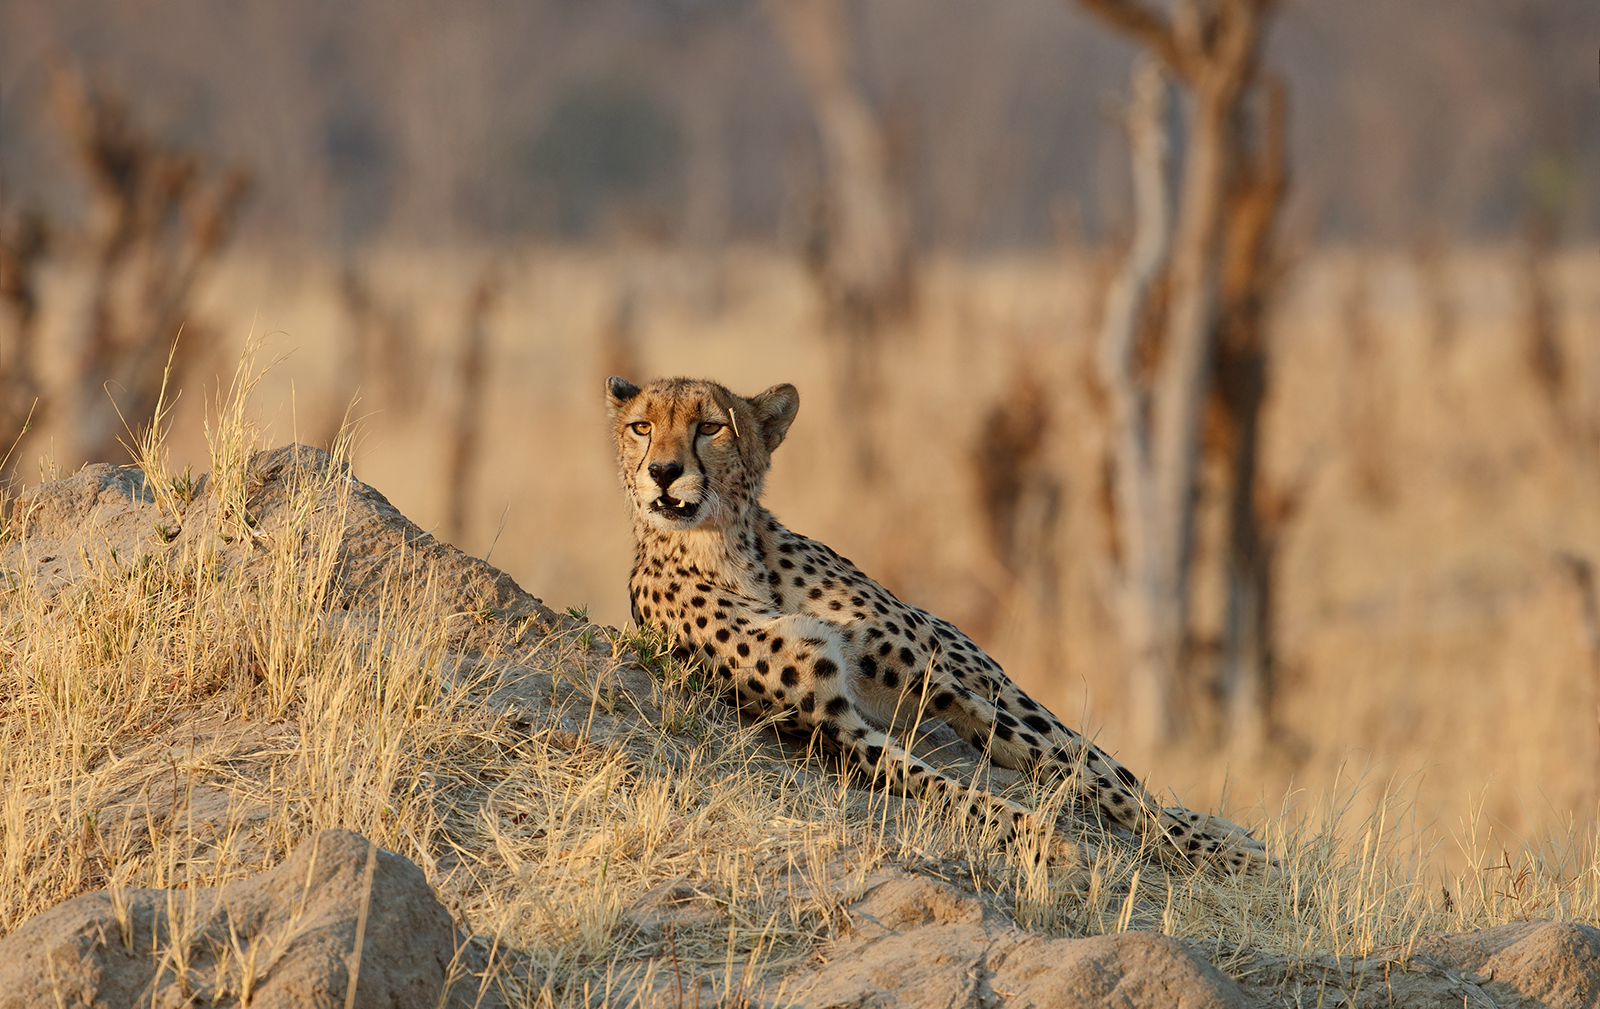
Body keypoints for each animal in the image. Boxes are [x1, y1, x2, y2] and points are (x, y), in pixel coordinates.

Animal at [607, 375, 1270, 876]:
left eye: (709, 427)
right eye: (642, 427)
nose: (662, 471)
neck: (728, 551)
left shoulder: (946, 689)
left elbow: (1092, 777)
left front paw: (1206, 851)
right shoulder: (836, 725)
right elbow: (947, 788)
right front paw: (1041, 836)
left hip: (989, 678)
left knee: (1099, 757)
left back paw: (1216, 828)